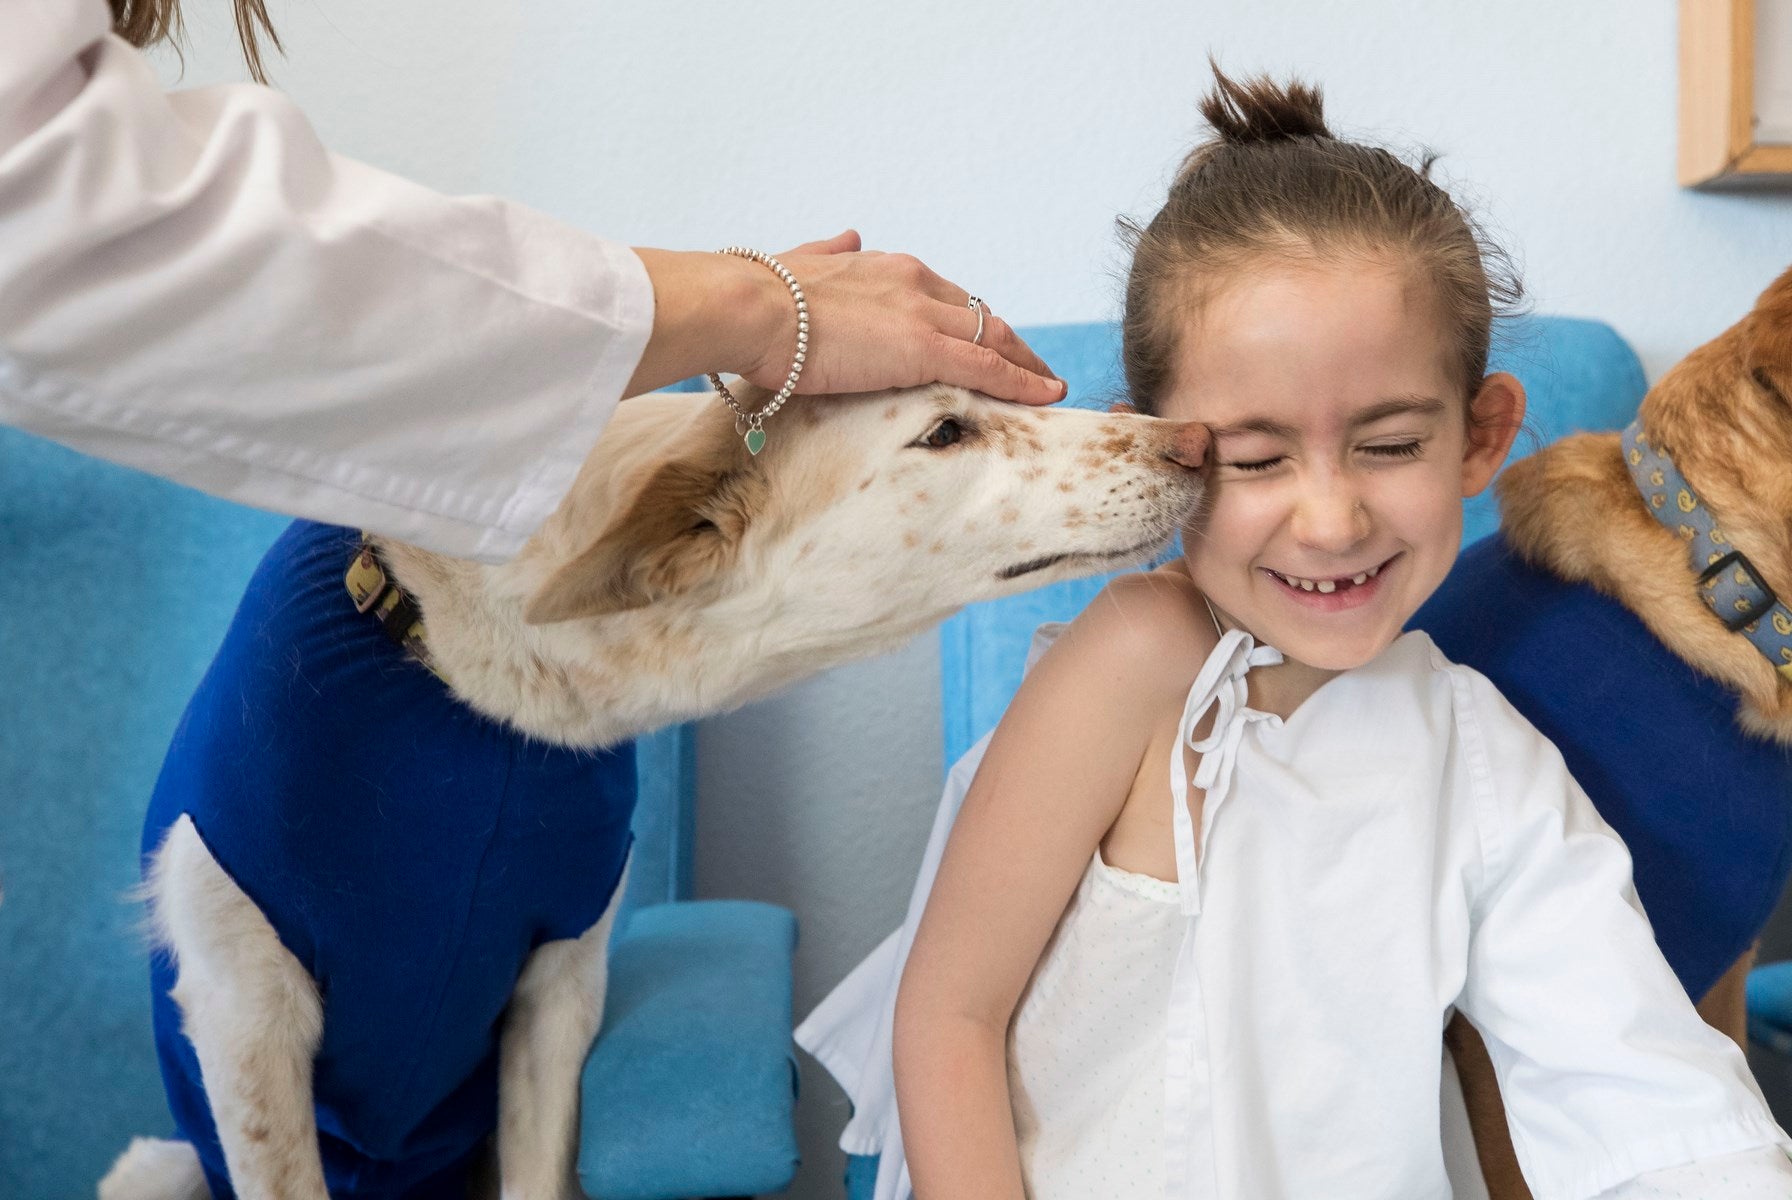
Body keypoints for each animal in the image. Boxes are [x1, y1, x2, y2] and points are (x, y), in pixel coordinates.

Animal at [104, 388, 1211, 1200]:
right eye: (944, 431)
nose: (1192, 439)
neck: (484, 703)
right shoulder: (248, 1019)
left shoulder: (558, 985)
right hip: (158, 1165)